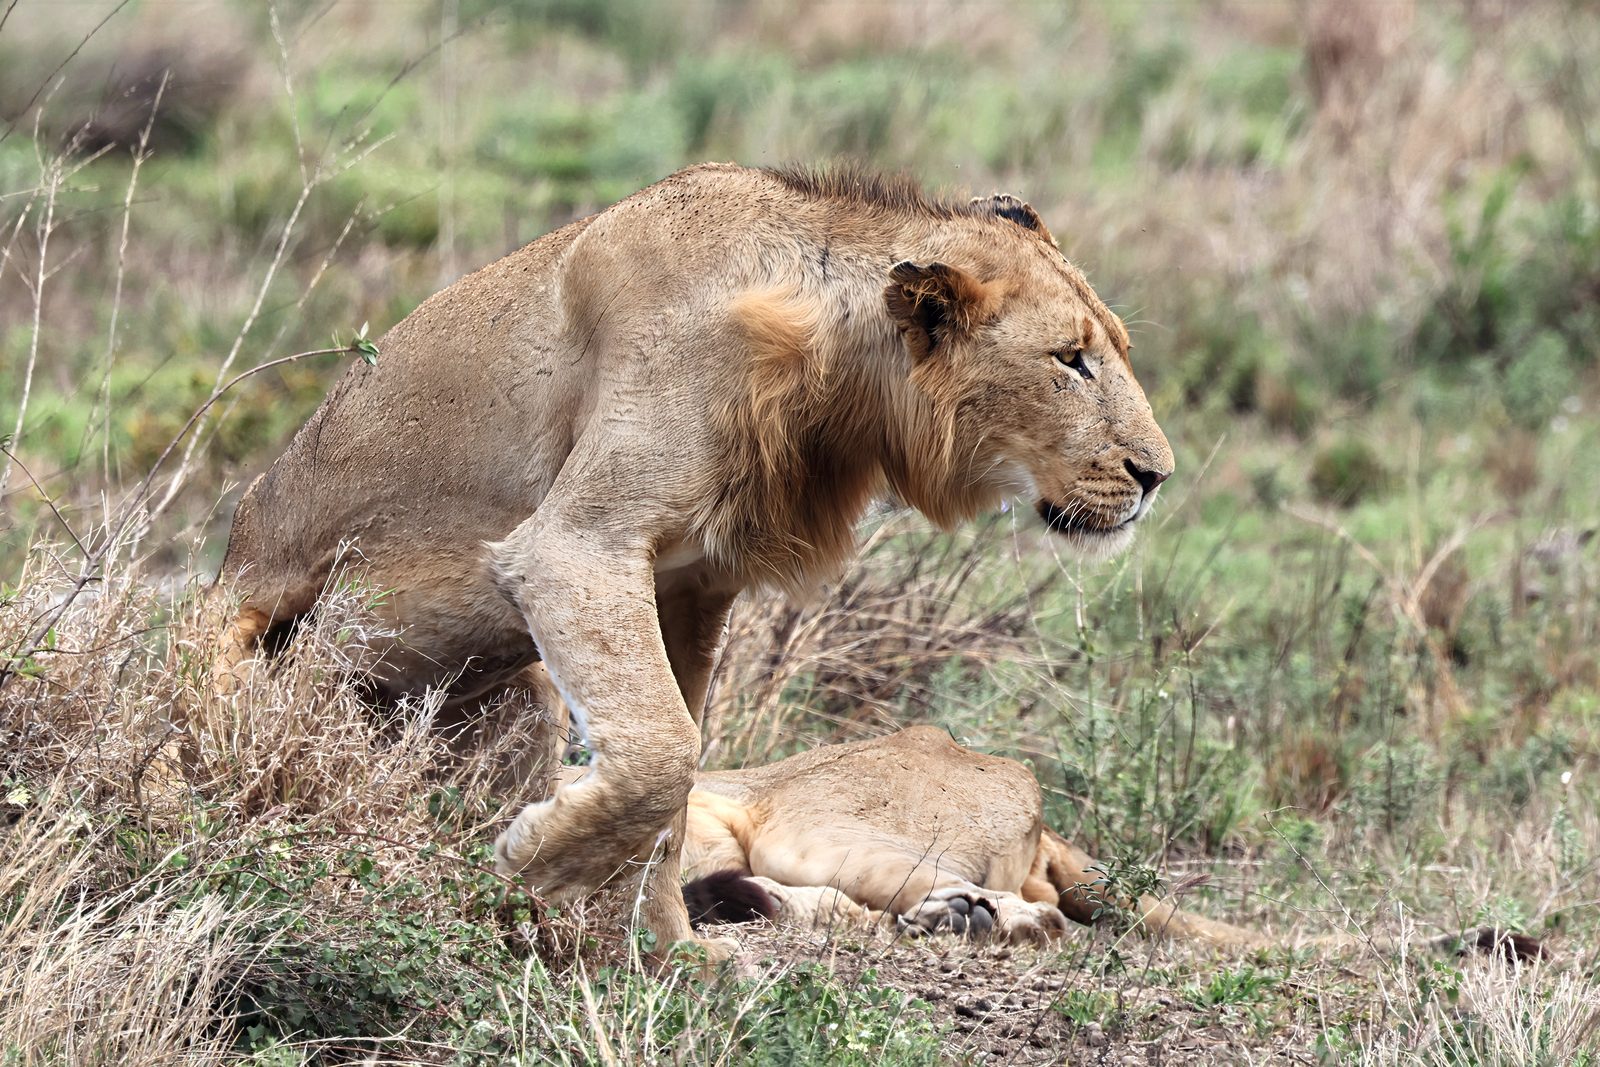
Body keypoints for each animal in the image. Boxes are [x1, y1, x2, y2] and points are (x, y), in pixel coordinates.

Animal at [214, 162, 1174, 963]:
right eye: (1070, 360)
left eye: (1120, 350)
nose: (1157, 475)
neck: (831, 377)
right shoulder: (577, 545)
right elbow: (663, 751)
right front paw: (541, 862)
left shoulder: (693, 585)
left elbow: (672, 786)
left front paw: (667, 956)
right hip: (247, 646)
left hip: (525, 693)